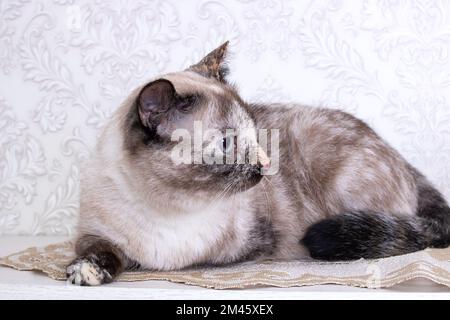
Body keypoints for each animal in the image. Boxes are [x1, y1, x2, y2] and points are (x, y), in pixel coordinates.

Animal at [67, 42, 450, 284]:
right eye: (227, 144)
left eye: (255, 134)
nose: (266, 164)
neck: (167, 208)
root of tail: (403, 160)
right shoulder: (92, 235)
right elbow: (102, 251)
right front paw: (85, 272)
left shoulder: (254, 243)